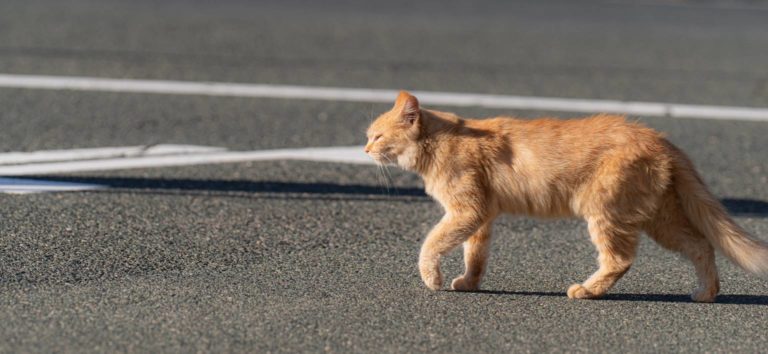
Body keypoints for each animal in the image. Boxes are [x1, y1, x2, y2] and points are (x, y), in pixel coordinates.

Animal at [364, 90, 768, 302]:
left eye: (377, 136)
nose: (365, 149)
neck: (444, 140)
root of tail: (660, 138)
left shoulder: (467, 210)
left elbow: (431, 244)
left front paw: (431, 278)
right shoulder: (482, 216)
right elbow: (474, 255)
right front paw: (469, 282)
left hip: (607, 213)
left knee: (620, 259)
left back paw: (586, 290)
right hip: (659, 218)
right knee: (702, 245)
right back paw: (706, 293)